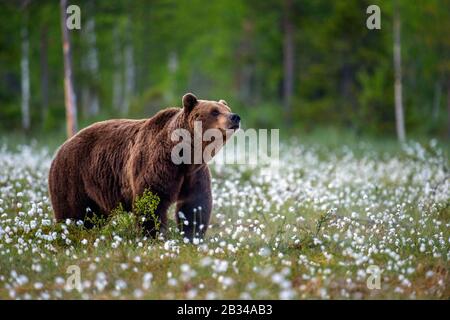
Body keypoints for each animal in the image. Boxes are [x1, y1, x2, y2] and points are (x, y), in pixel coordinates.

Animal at [47, 94, 241, 239]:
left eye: (227, 109)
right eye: (214, 111)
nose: (235, 117)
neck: (185, 156)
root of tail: (60, 147)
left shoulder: (194, 173)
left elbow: (195, 204)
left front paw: (192, 236)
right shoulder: (157, 164)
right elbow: (151, 200)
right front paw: (153, 235)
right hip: (74, 175)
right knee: (72, 213)